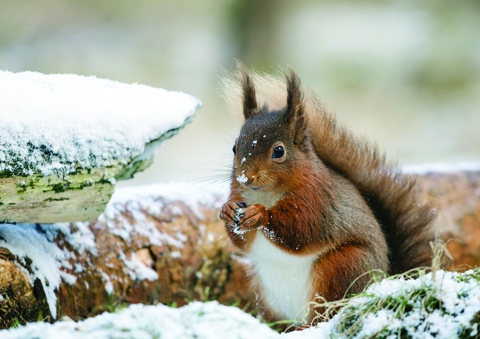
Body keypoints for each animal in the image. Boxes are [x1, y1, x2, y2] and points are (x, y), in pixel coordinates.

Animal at [219, 65, 434, 324]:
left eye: (278, 151)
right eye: (234, 148)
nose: (245, 177)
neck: (265, 195)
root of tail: (385, 278)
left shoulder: (318, 199)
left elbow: (302, 230)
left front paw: (260, 215)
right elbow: (242, 242)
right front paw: (227, 210)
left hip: (340, 269)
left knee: (326, 315)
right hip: (264, 291)